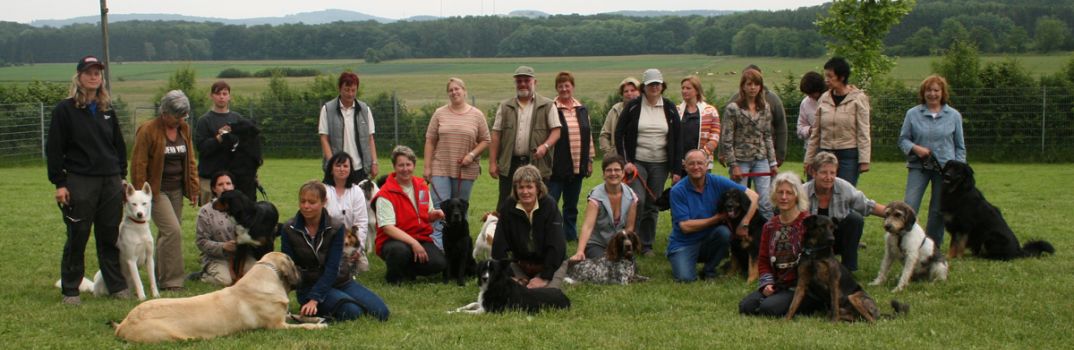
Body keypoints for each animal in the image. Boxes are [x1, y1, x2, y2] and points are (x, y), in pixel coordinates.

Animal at [113, 253, 324, 343]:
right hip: (166, 335)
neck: (267, 277)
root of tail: (124, 324)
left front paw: (316, 318)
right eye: (294, 265)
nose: (303, 270)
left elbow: (299, 316)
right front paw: (316, 326)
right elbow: (303, 326)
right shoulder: (277, 326)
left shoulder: (283, 316)